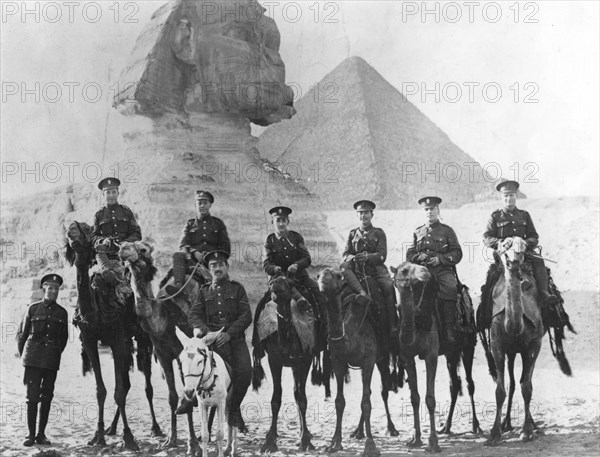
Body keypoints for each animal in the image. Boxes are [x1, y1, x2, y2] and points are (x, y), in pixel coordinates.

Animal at [65, 221, 162, 448]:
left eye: (86, 229)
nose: (71, 228)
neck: (96, 311)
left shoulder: (117, 337)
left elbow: (119, 391)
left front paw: (129, 438)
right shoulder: (90, 341)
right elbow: (102, 391)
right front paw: (98, 436)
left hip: (142, 338)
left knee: (147, 385)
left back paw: (156, 428)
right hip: (126, 342)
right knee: (126, 383)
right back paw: (112, 428)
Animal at [251, 274, 318, 452]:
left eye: (289, 282)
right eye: (271, 281)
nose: (277, 285)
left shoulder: (305, 359)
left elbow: (302, 399)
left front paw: (305, 441)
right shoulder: (274, 359)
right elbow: (276, 399)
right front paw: (269, 441)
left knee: (298, 393)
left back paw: (305, 433)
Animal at [316, 268, 386, 456]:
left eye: (337, 276)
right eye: (318, 275)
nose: (323, 281)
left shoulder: (369, 360)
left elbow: (366, 403)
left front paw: (370, 446)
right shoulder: (337, 361)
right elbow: (339, 401)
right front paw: (335, 443)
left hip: (382, 358)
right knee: (367, 392)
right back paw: (357, 432)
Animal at [392, 260, 442, 452]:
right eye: (405, 270)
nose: (426, 271)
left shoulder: (432, 355)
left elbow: (430, 399)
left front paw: (433, 442)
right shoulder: (406, 357)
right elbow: (414, 398)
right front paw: (416, 439)